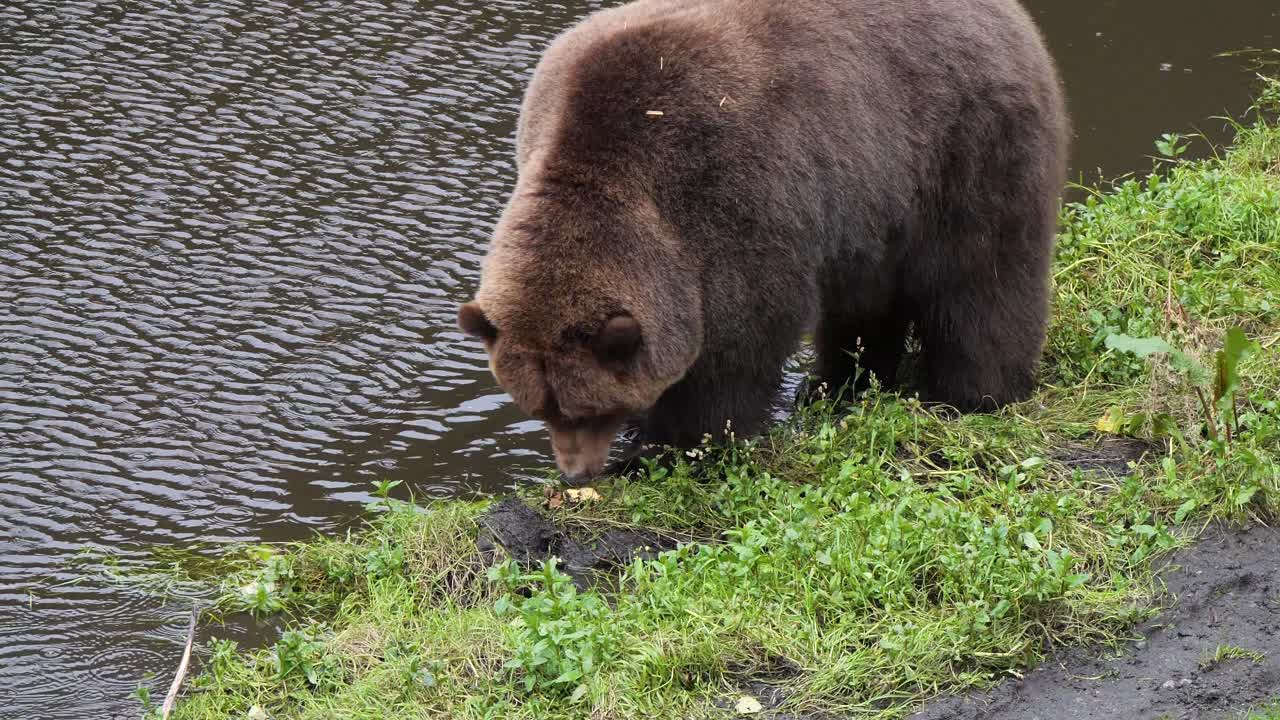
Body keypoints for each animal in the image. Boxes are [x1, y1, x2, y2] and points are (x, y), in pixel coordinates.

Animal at [458, 0, 1069, 486]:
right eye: (542, 408)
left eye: (587, 409)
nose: (575, 471)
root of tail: (1016, 19)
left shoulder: (734, 199)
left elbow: (734, 351)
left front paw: (674, 448)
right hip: (876, 204)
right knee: (866, 304)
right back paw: (836, 385)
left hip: (963, 150)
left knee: (983, 282)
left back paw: (973, 393)